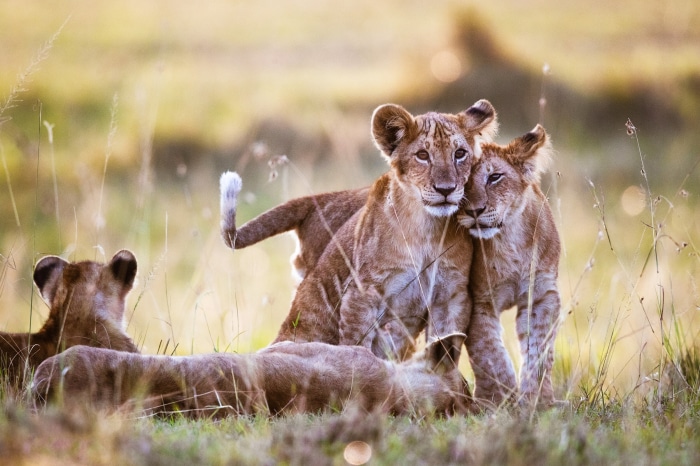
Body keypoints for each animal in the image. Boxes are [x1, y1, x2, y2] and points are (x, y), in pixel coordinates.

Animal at [220, 100, 498, 360]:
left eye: (459, 154)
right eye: (422, 155)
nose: (446, 189)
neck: (427, 229)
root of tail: (317, 199)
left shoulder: (451, 297)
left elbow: (445, 348)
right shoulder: (362, 294)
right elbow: (357, 347)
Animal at [458, 124, 561, 408]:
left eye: (494, 177)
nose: (475, 211)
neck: (509, 240)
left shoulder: (542, 296)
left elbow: (540, 351)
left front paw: (538, 401)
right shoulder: (479, 301)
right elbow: (489, 355)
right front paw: (498, 401)